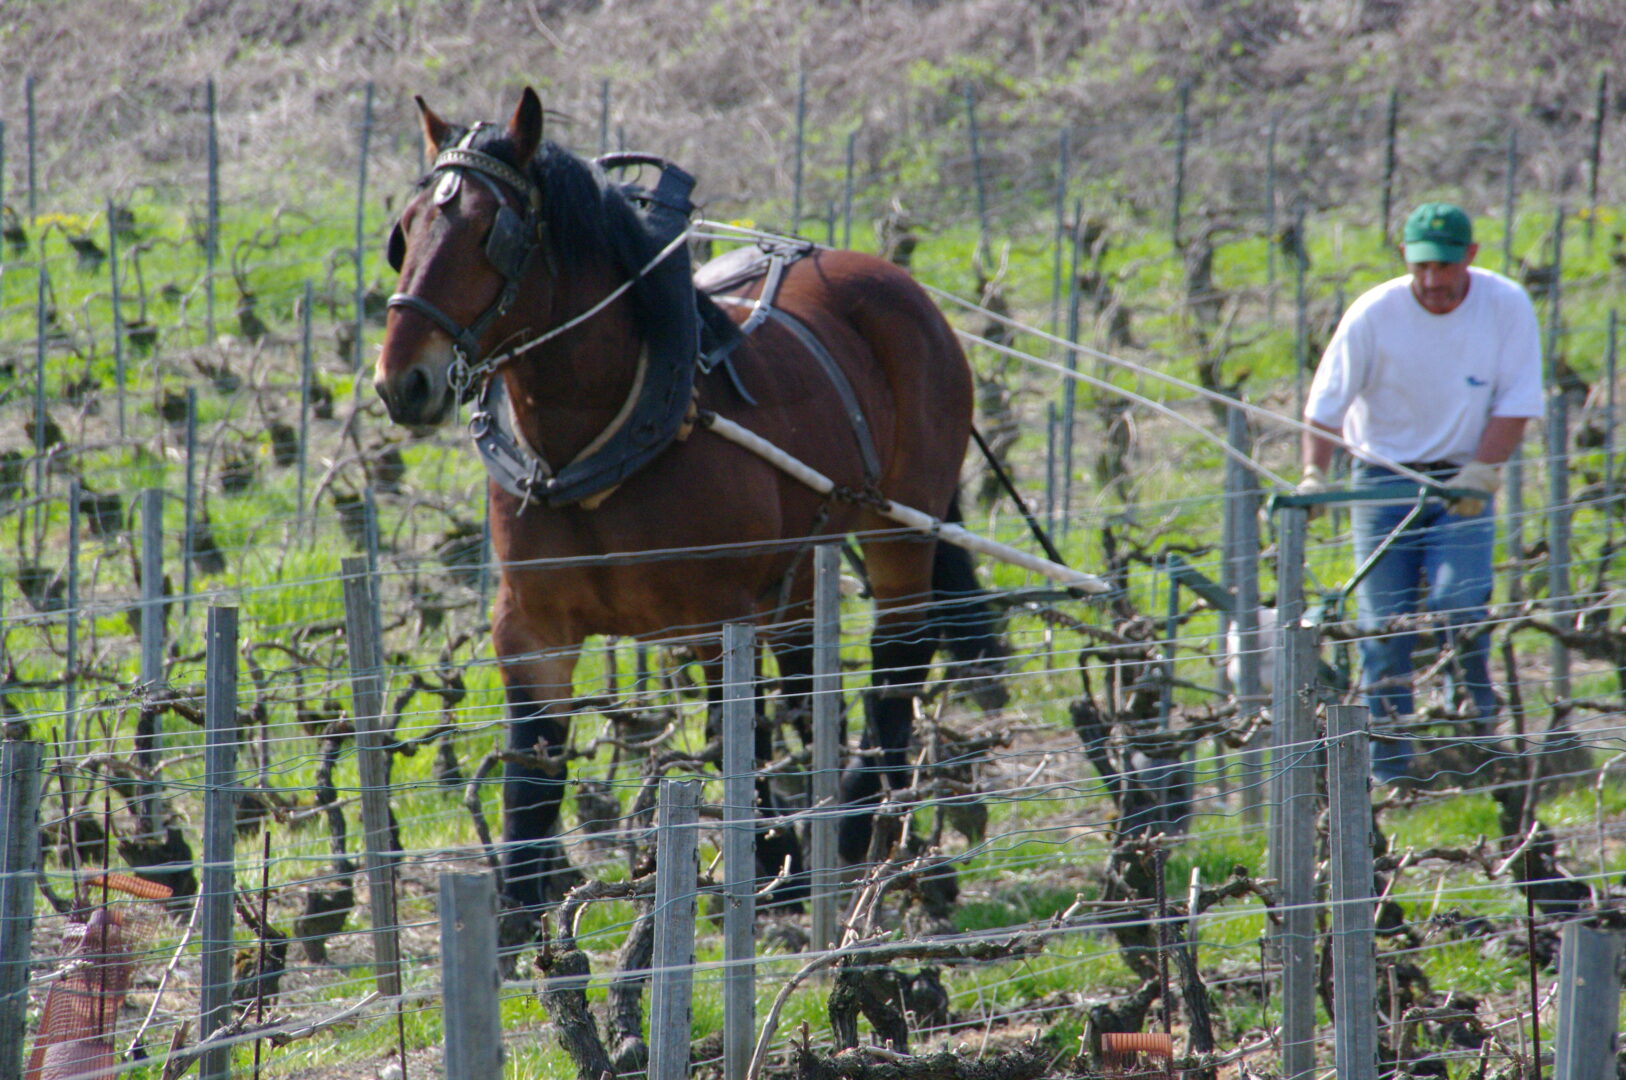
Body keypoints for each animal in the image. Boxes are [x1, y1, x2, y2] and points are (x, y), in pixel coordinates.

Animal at [373, 88, 1001, 917]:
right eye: (407, 230)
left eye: (488, 232)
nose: (401, 380)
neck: (592, 442)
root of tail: (887, 278)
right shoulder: (531, 630)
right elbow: (532, 780)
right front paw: (516, 918)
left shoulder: (717, 616)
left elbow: (739, 737)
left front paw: (769, 860)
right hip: (805, 554)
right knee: (808, 673)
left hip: (901, 523)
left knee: (897, 656)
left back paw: (863, 818)